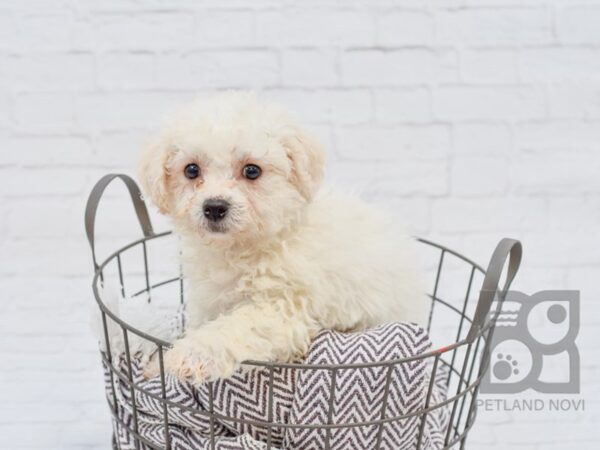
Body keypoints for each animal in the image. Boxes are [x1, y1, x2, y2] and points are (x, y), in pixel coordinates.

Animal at [138, 91, 428, 384]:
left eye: (252, 171)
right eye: (191, 170)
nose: (214, 207)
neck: (240, 249)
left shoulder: (284, 307)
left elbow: (236, 326)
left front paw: (193, 352)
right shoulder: (209, 302)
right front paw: (157, 366)